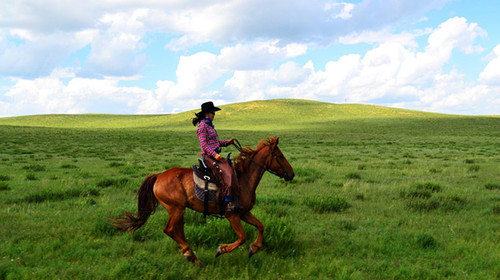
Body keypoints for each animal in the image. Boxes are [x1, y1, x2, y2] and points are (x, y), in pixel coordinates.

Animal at [111, 137, 294, 266]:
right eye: (280, 156)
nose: (291, 174)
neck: (243, 179)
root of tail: (159, 176)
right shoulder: (232, 215)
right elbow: (242, 237)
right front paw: (221, 249)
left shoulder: (244, 212)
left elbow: (260, 226)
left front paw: (253, 249)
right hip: (176, 209)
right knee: (169, 230)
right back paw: (191, 255)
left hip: (179, 210)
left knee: (178, 231)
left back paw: (191, 256)